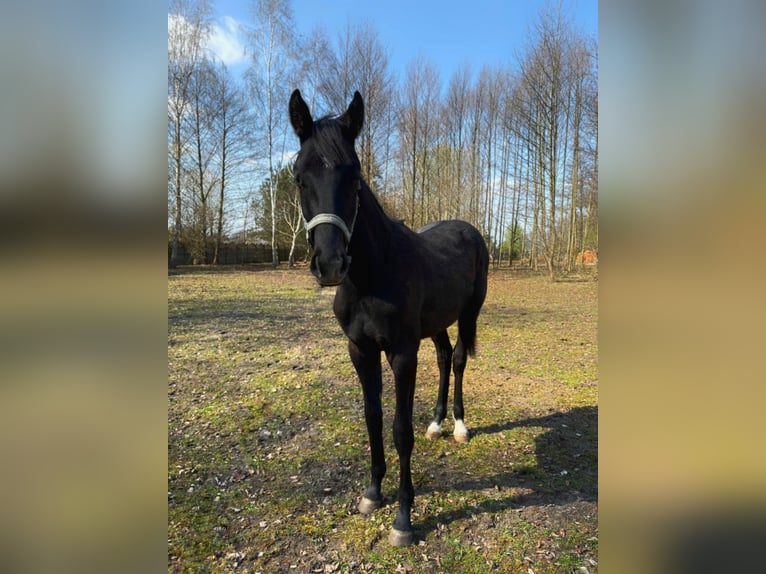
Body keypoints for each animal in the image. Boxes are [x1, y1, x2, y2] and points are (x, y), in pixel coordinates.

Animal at [288, 89, 489, 546]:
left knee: (459, 360)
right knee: (444, 357)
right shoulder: (360, 350)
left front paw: (403, 518)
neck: (371, 277)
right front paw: (372, 493)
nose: (330, 264)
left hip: (468, 313)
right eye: (299, 176)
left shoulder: (401, 354)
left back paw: (459, 426)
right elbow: (373, 417)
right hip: (435, 326)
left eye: (354, 175)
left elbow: (399, 429)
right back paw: (437, 423)